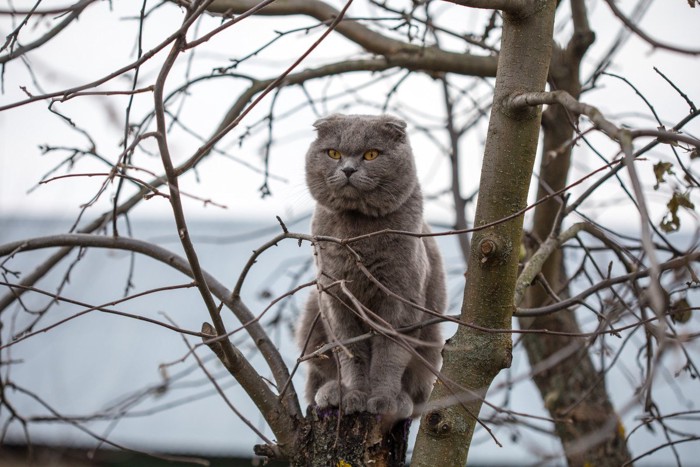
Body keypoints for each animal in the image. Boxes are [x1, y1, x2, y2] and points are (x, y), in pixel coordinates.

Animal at [298, 113, 446, 420]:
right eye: (333, 153)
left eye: (371, 154)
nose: (348, 169)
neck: (357, 235)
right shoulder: (335, 297)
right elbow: (351, 350)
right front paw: (354, 396)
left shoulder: (400, 298)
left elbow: (389, 352)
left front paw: (382, 398)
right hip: (311, 316)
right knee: (317, 377)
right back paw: (331, 393)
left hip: (432, 341)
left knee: (417, 391)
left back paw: (401, 401)